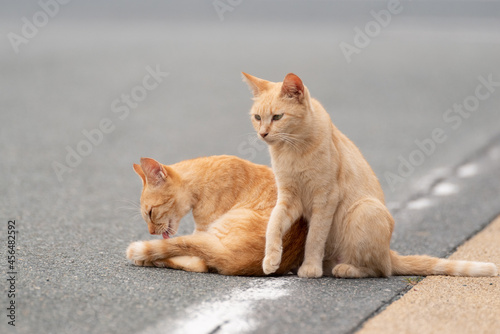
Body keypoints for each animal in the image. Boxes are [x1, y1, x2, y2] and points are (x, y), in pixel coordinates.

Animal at [241, 72, 496, 280]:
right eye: (257, 117)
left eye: (277, 117)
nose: (263, 133)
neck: (291, 150)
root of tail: (389, 252)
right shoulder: (288, 199)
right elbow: (273, 226)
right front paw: (271, 259)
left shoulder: (325, 198)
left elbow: (315, 237)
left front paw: (310, 268)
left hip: (365, 209)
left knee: (380, 270)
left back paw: (344, 269)